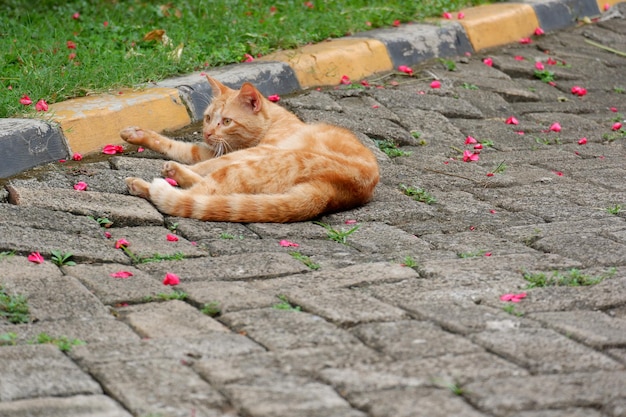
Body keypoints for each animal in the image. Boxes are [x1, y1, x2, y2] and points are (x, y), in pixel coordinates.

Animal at [119, 76, 378, 223]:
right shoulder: (216, 149)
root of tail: (330, 192)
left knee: (194, 195)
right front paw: (138, 135)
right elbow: (181, 148)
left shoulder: (250, 151)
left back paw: (150, 183)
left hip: (252, 165)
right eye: (208, 118)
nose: (207, 133)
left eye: (226, 121)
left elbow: (203, 163)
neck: (274, 123)